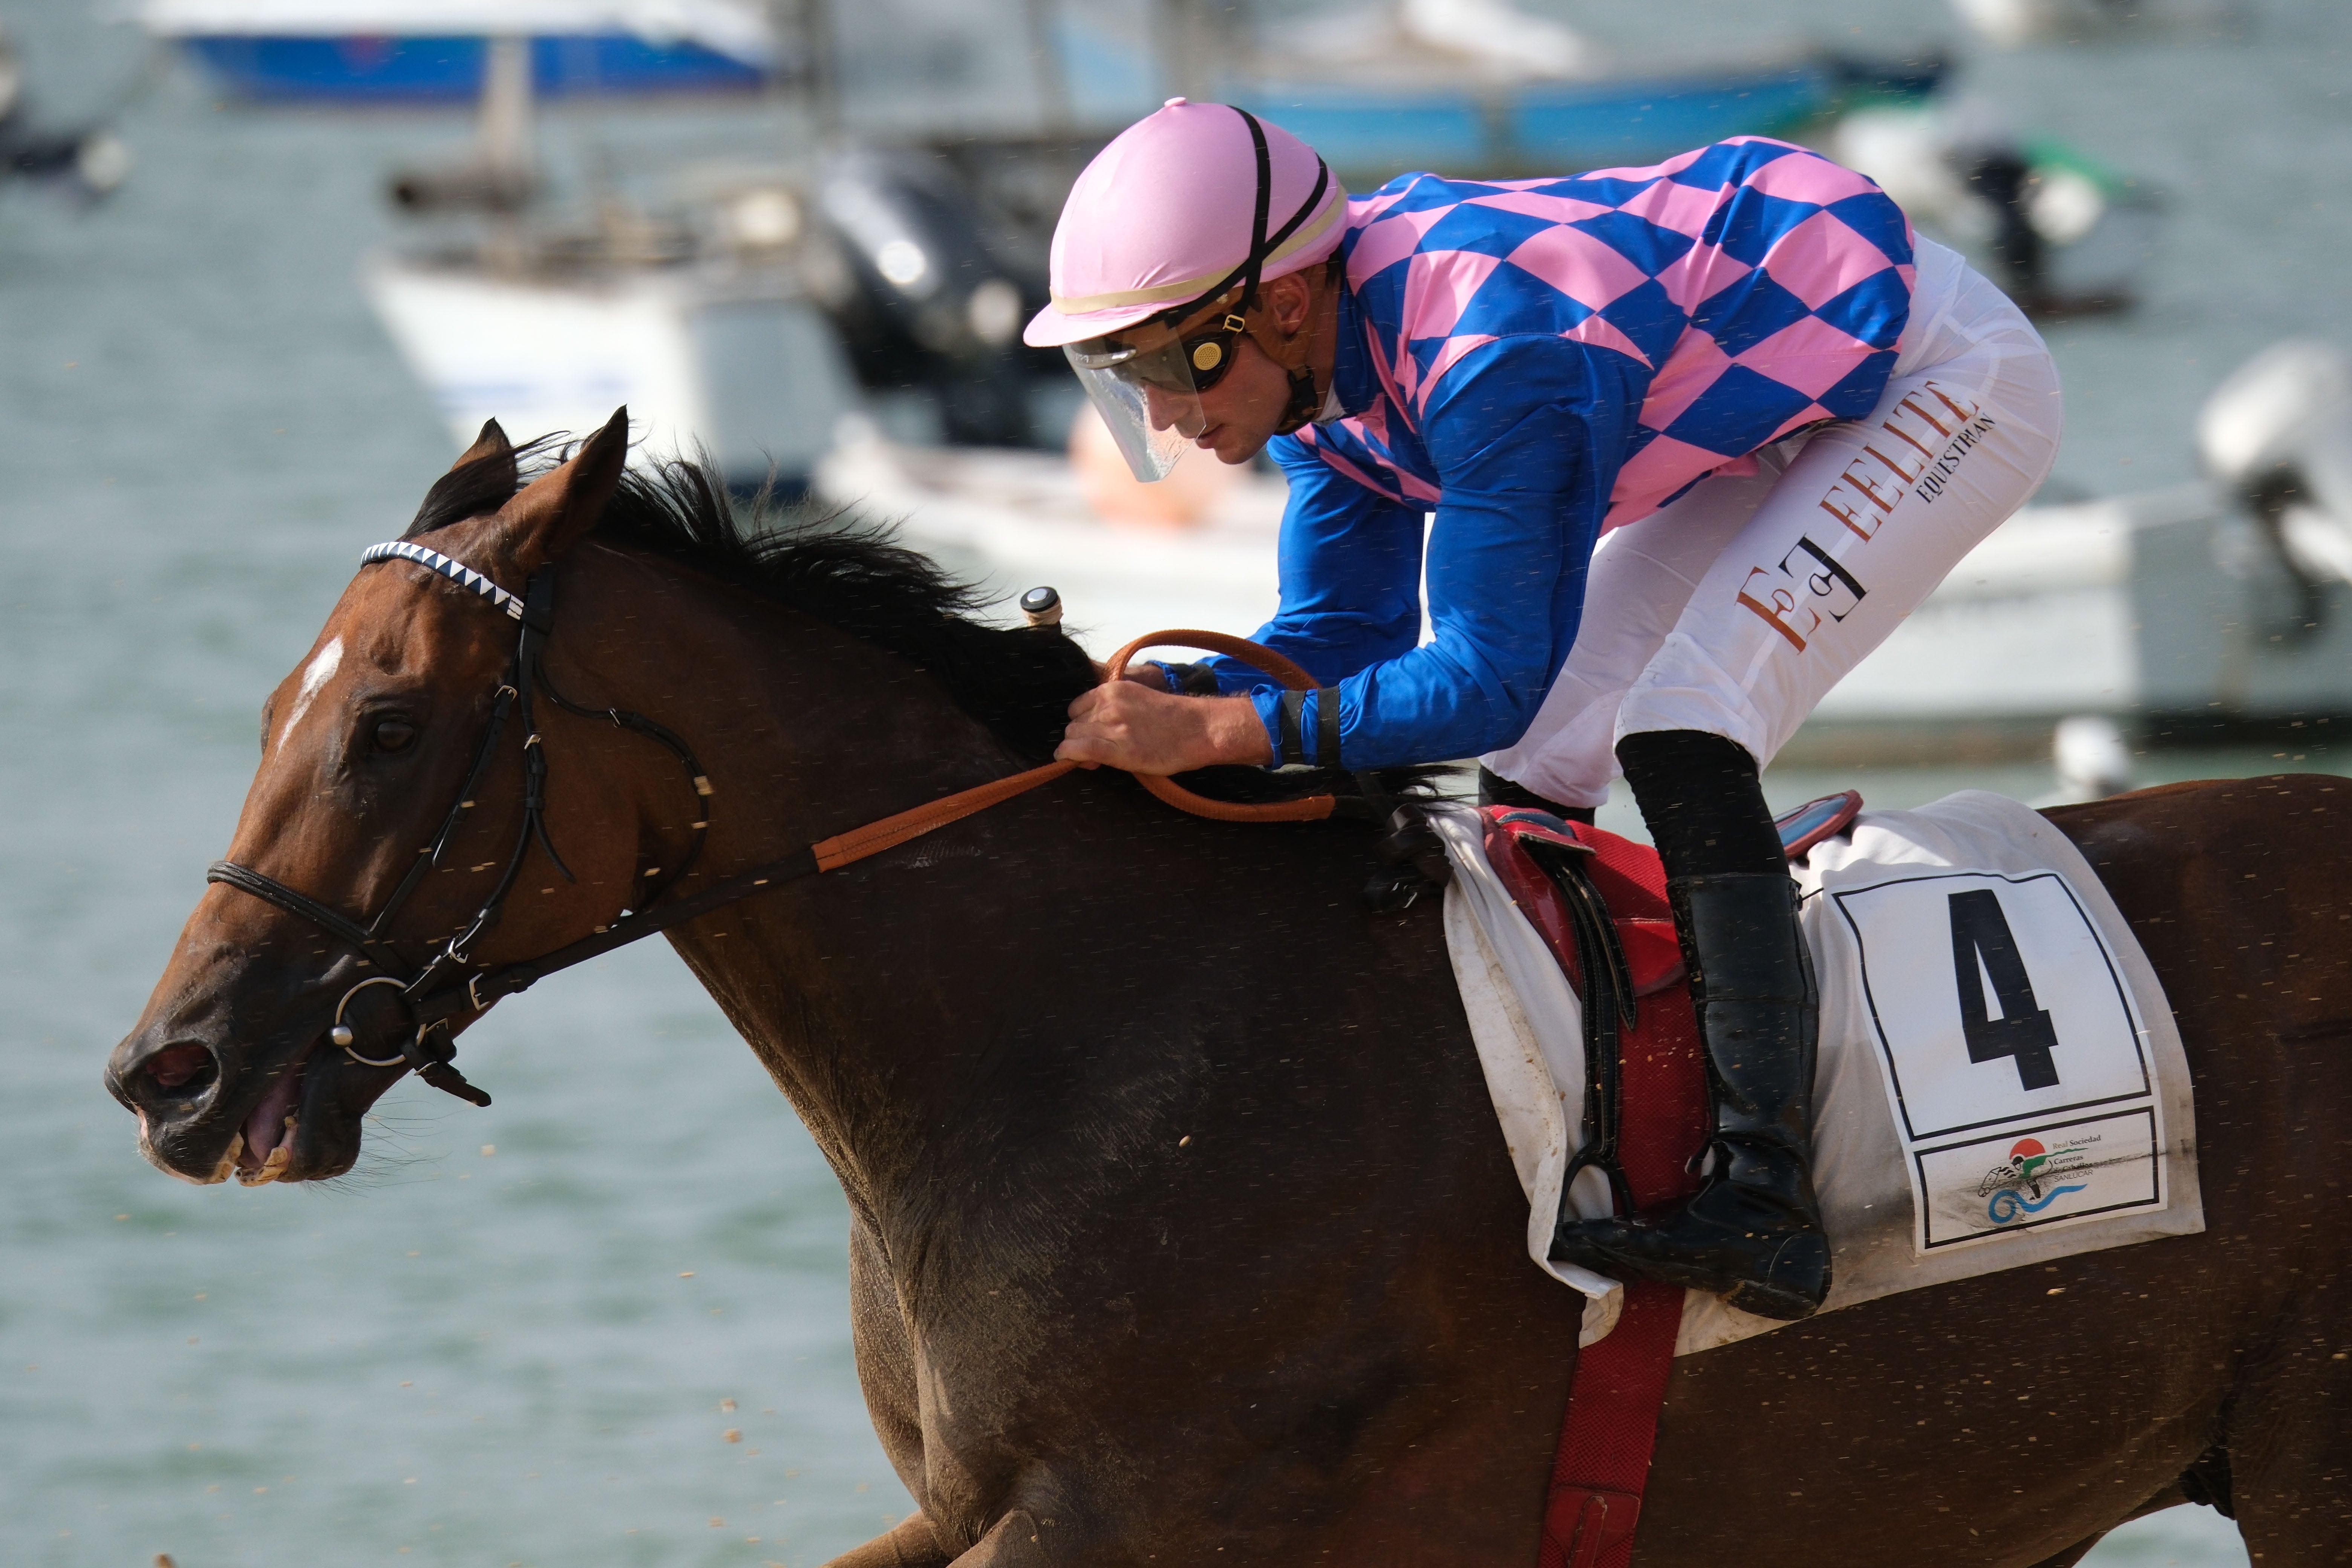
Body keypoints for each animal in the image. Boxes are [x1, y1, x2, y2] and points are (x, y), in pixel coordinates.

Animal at [108, 415, 2351, 1566]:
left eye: (391, 726)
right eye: (281, 705)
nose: (173, 1071)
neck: (1108, 1036)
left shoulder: (1137, 1520)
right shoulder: (978, 1512)